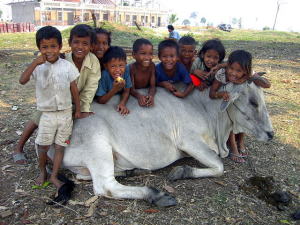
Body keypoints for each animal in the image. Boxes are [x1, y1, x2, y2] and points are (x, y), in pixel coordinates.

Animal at [46, 81, 272, 207]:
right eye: (253, 102)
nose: (271, 134)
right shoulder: (189, 141)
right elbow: (219, 166)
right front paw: (181, 172)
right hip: (98, 147)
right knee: (105, 187)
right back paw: (156, 195)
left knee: (84, 176)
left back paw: (132, 171)